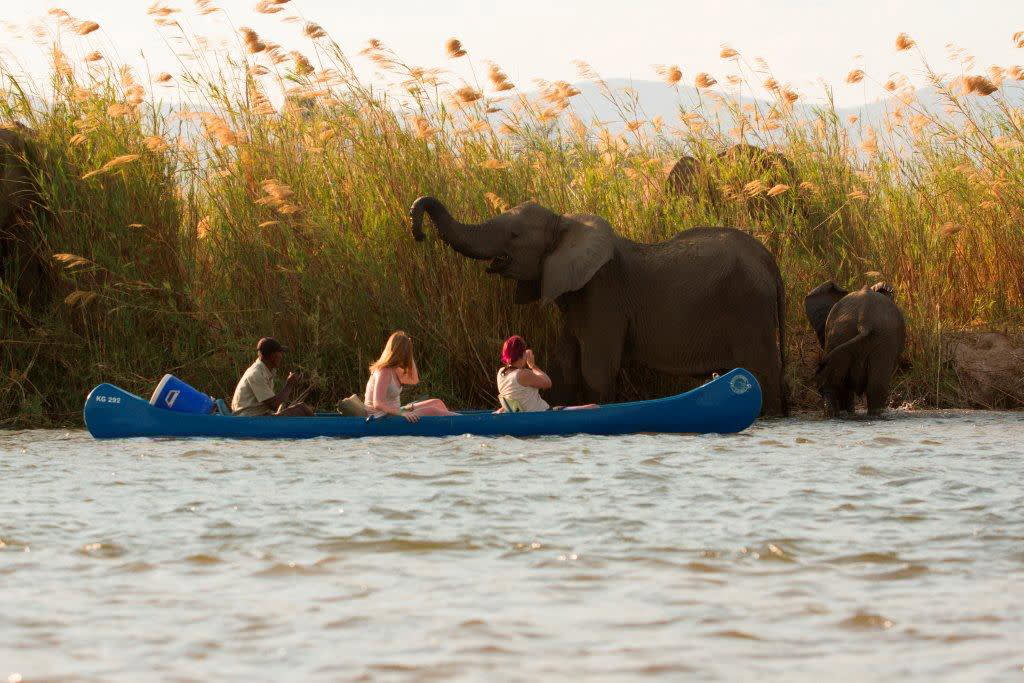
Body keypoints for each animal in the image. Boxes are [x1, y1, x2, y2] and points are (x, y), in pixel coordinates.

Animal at [411, 194, 786, 413]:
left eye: (515, 235)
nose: (418, 233)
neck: (565, 223)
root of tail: (770, 261)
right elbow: (563, 366)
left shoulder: (603, 295)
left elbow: (596, 368)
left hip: (749, 307)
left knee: (762, 372)